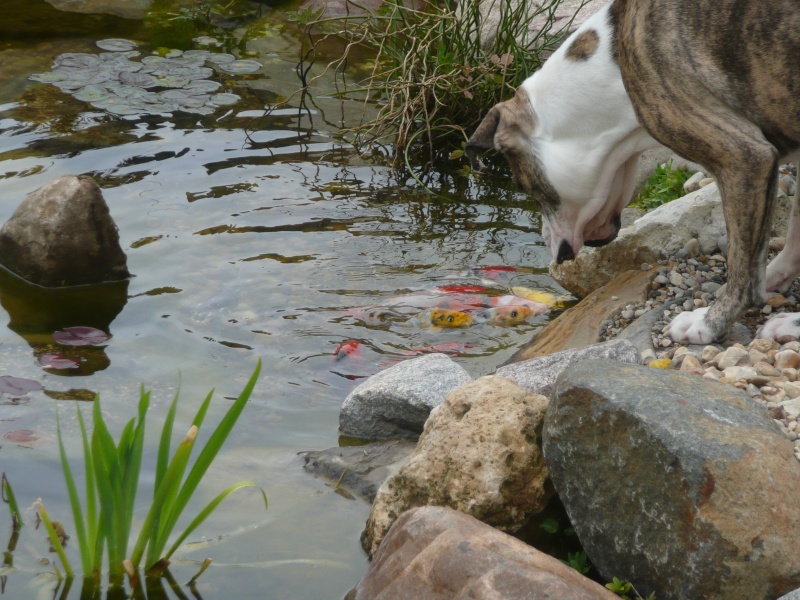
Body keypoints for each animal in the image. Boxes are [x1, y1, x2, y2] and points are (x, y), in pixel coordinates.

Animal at [466, 0, 800, 344]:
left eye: (525, 187)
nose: (549, 247)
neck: (611, 69)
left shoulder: (743, 157)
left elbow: (743, 267)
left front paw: (709, 322)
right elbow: (793, 235)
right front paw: (775, 276)